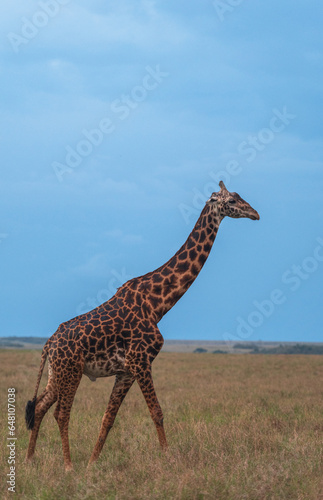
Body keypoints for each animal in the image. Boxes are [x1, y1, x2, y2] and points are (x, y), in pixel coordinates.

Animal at [25, 182, 260, 470]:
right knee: (60, 412)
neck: (158, 303)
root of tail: (49, 343)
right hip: (71, 371)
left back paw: (29, 459)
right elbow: (157, 412)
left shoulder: (126, 370)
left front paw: (92, 463)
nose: (255, 213)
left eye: (239, 196)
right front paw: (169, 458)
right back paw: (68, 466)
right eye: (231, 201)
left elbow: (108, 418)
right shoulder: (141, 361)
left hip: (56, 373)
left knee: (40, 406)